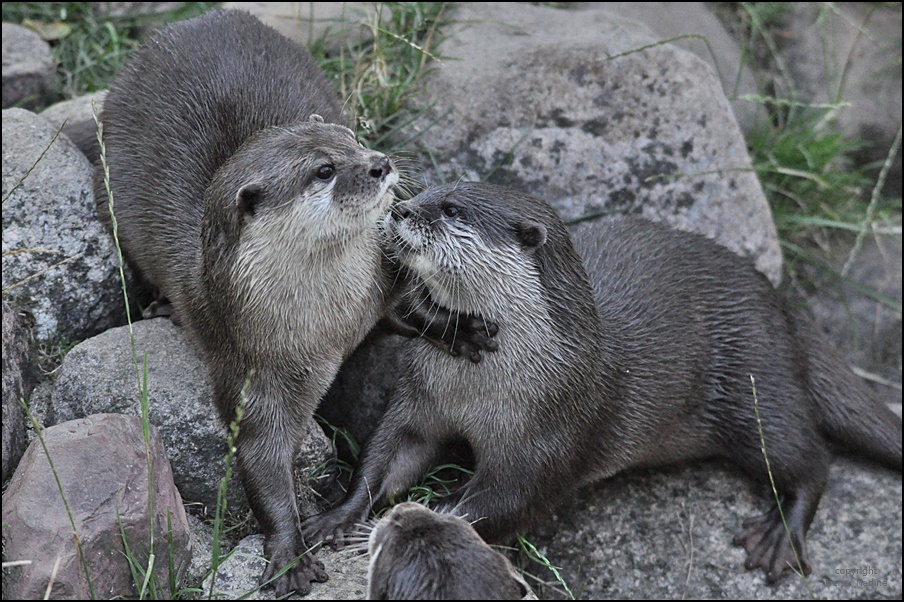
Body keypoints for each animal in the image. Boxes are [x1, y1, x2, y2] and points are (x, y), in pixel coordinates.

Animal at [97, 10, 494, 596]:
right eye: (323, 171)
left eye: (351, 139)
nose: (379, 163)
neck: (328, 325)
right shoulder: (251, 364)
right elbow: (261, 457)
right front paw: (289, 552)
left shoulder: (377, 287)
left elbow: (410, 308)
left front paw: (462, 329)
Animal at [304, 183, 904, 580]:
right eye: (428, 188)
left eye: (451, 209)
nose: (401, 208)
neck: (482, 390)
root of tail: (778, 300)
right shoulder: (421, 399)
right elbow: (386, 454)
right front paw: (339, 517)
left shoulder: (553, 432)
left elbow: (507, 500)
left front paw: (410, 527)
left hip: (756, 379)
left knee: (807, 457)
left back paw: (780, 535)